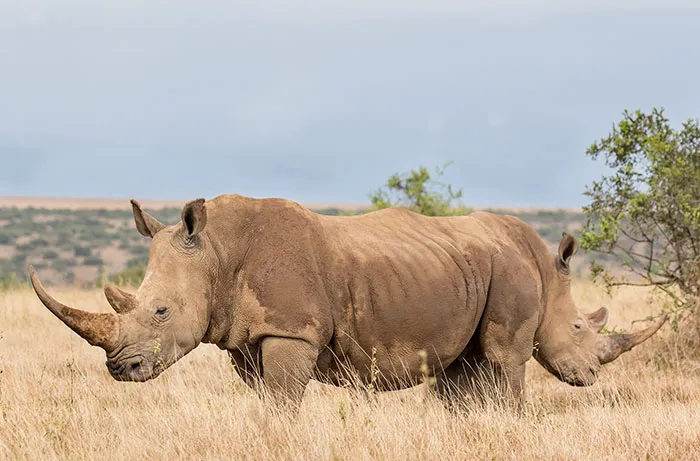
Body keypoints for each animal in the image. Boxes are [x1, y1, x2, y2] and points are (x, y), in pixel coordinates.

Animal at [29, 195, 666, 406]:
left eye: (160, 312)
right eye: (583, 328)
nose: (120, 368)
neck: (215, 252)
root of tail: (525, 244)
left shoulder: (290, 330)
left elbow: (283, 403)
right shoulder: (251, 337)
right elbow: (269, 403)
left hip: (501, 273)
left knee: (501, 364)